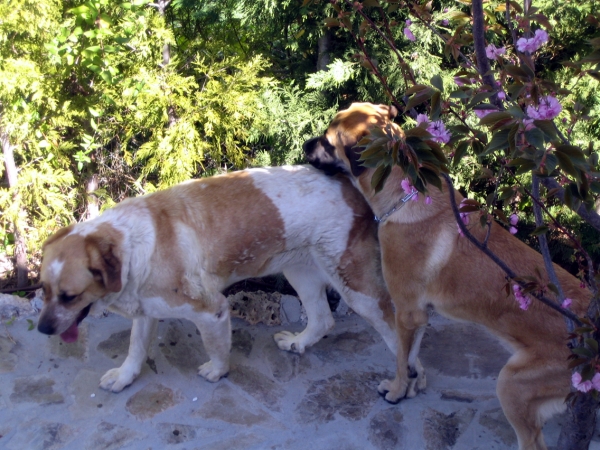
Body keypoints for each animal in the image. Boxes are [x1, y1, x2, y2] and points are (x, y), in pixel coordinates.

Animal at [37, 164, 396, 394]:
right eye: (44, 289)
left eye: (69, 296)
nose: (42, 330)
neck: (133, 243)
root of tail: (348, 184)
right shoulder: (146, 308)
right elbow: (135, 348)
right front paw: (125, 377)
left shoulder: (212, 311)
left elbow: (217, 348)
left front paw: (217, 371)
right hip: (300, 272)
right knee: (323, 319)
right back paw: (299, 342)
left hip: (358, 290)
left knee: (395, 328)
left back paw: (401, 383)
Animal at [304, 103, 592, 450]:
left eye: (328, 141)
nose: (304, 146)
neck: (405, 195)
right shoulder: (418, 316)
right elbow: (411, 357)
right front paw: (411, 385)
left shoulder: (405, 312)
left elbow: (400, 359)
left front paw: (396, 391)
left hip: (512, 385)